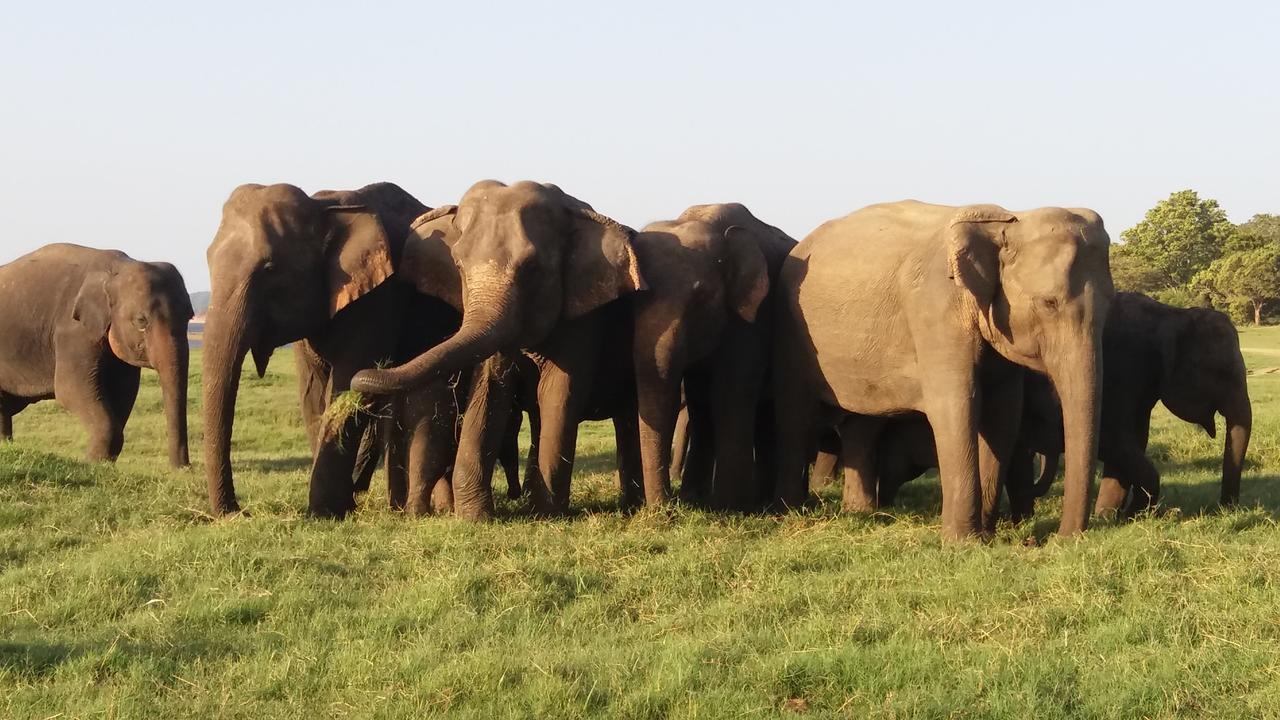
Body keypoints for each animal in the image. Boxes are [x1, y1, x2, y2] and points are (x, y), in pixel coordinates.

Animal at [0, 242, 192, 466]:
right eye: (141, 321)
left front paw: (101, 462)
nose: (183, 468)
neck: (116, 267)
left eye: (190, 317)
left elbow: (124, 393)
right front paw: (92, 463)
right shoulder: (73, 332)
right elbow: (70, 390)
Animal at [200, 181, 435, 512]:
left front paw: (325, 511)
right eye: (208, 259)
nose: (238, 512)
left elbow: (346, 384)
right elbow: (312, 393)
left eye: (270, 268)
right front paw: (337, 505)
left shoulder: (379, 298)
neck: (322, 207)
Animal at [353, 178, 645, 515]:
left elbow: (557, 393)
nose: (360, 378)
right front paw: (475, 517)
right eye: (458, 265)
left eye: (532, 268)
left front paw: (544, 515)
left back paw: (629, 506)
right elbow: (490, 388)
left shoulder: (583, 316)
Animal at [768, 198, 1111, 535]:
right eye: (1048, 303)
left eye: (1109, 301)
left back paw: (860, 511)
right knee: (794, 413)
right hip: (791, 328)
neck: (1006, 221)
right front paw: (964, 541)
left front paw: (987, 534)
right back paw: (789, 511)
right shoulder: (934, 310)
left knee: (861, 424)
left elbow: (1003, 413)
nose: (1060, 538)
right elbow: (957, 403)